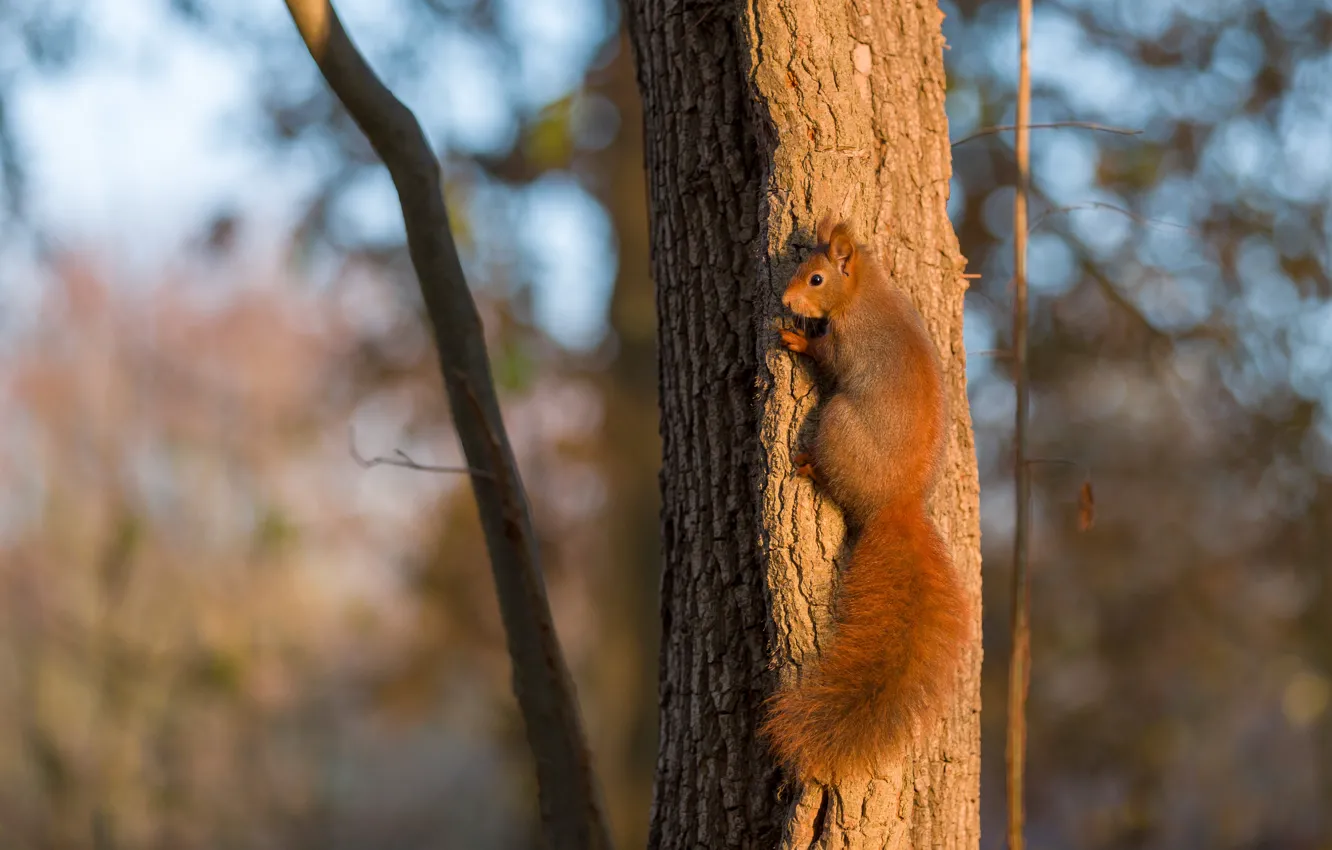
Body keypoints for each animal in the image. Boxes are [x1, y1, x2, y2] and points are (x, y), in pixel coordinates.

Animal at [761, 217, 971, 783]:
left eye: (815, 279)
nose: (786, 300)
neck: (864, 293)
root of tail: (895, 506)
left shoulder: (847, 344)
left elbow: (825, 357)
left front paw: (793, 336)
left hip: (836, 424)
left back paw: (809, 466)